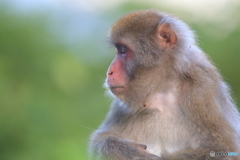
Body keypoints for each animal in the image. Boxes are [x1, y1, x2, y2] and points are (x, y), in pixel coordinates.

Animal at [88, 10, 240, 160]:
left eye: (123, 50)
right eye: (119, 50)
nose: (109, 72)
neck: (163, 89)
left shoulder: (203, 90)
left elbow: (223, 149)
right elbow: (99, 139)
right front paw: (127, 151)